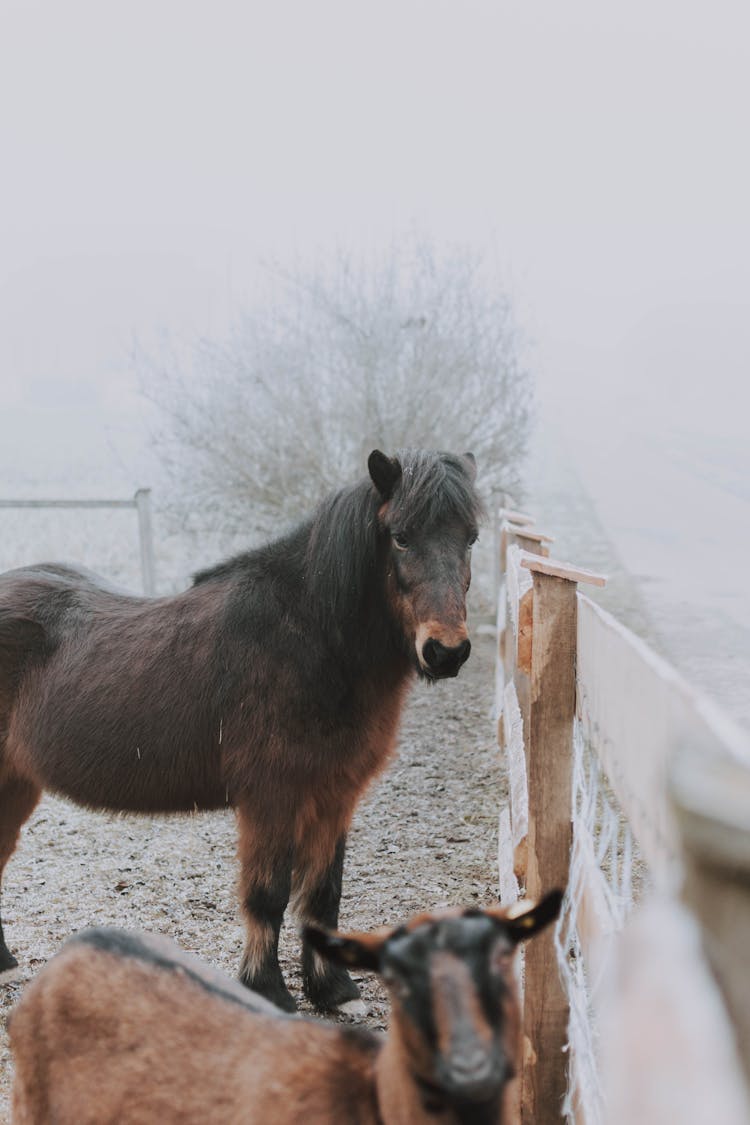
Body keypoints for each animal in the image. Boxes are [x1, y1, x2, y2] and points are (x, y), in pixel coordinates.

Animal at [0, 447, 481, 1012]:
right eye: (401, 536)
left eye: (470, 537)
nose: (446, 651)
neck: (309, 637)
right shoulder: (271, 798)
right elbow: (267, 896)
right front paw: (267, 990)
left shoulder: (334, 796)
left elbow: (323, 894)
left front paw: (335, 991)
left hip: (16, 785)